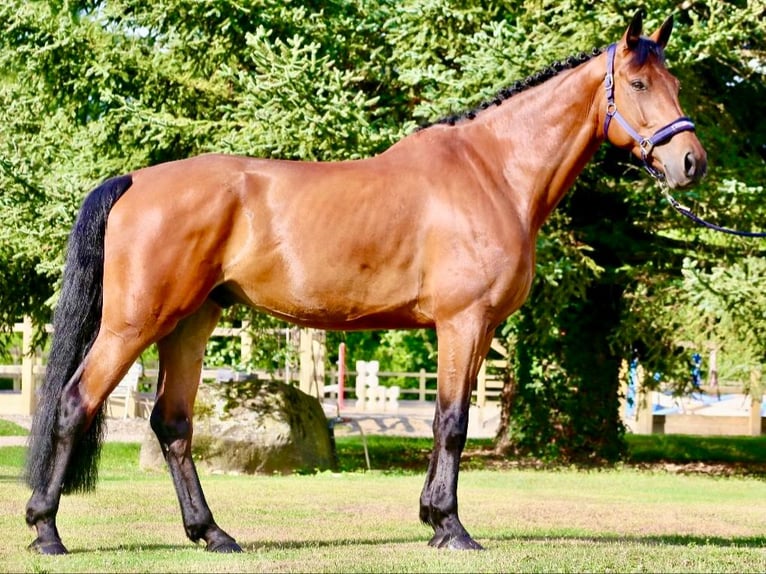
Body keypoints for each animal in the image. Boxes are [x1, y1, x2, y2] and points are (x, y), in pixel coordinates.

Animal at [25, 10, 706, 554]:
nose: (691, 163)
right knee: (74, 403)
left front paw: (433, 519)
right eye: (639, 84)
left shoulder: (473, 330)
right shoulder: (462, 323)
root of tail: (136, 180)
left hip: (191, 322)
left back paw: (213, 534)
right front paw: (450, 527)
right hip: (134, 323)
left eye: (675, 85)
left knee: (172, 423)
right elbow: (452, 423)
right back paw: (47, 530)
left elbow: (448, 420)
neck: (493, 172)